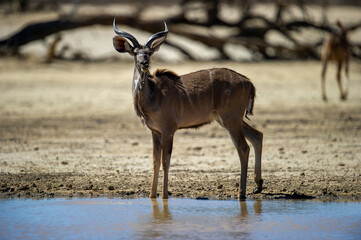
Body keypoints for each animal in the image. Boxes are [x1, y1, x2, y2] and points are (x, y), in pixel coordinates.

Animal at [112, 18, 262, 200]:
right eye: (135, 53)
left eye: (150, 52)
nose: (144, 63)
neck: (152, 95)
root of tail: (248, 81)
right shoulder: (155, 132)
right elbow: (155, 162)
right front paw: (152, 196)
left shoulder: (168, 129)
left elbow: (165, 161)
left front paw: (164, 196)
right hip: (229, 119)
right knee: (257, 136)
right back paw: (258, 185)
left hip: (231, 119)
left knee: (243, 147)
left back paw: (242, 193)